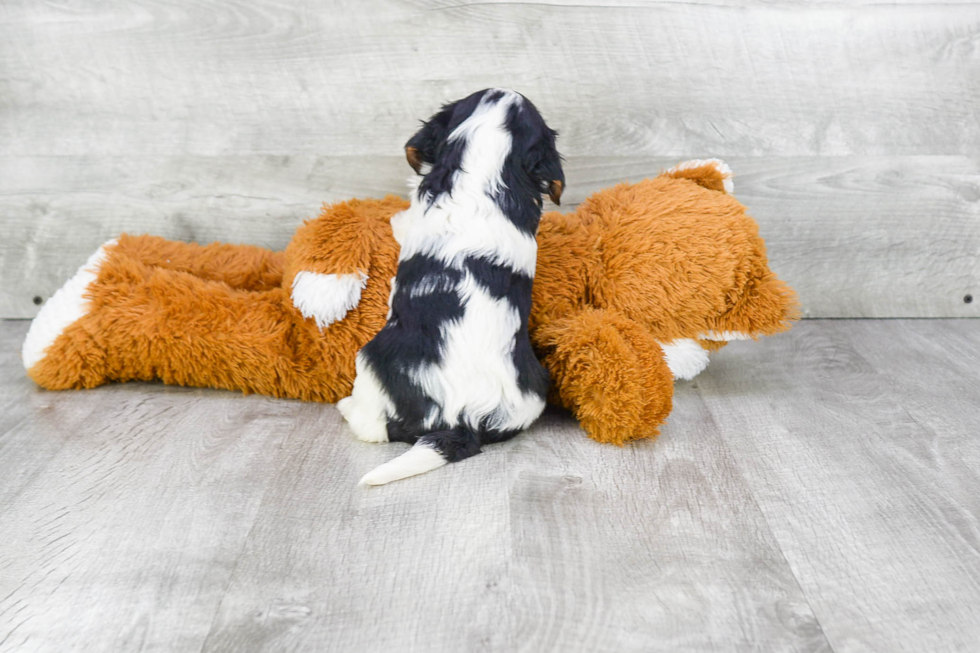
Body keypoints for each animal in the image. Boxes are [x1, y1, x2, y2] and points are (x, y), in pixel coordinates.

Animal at [340, 88, 564, 484]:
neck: (485, 167)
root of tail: (464, 420)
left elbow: (401, 221)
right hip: (535, 389)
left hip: (371, 360)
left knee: (372, 426)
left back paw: (346, 407)